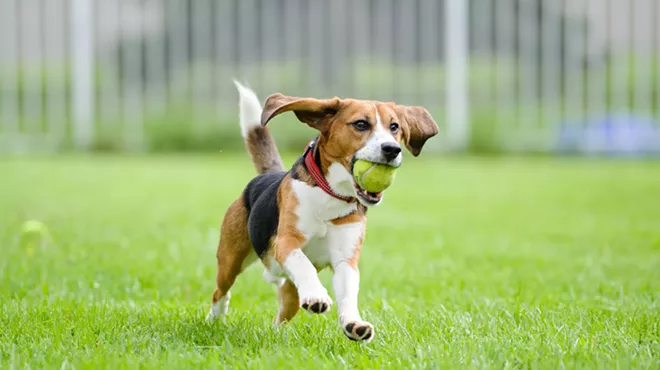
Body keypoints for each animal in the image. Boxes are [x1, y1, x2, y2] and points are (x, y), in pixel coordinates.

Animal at [208, 80, 438, 342]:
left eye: (394, 127)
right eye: (361, 124)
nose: (392, 149)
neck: (332, 195)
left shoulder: (346, 260)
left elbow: (348, 293)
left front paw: (354, 324)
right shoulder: (286, 242)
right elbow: (304, 264)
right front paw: (317, 296)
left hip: (289, 290)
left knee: (283, 305)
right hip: (230, 260)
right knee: (221, 291)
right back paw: (214, 320)